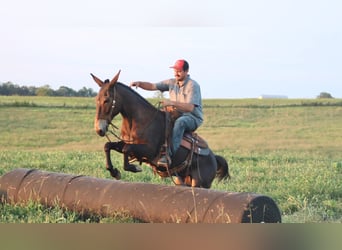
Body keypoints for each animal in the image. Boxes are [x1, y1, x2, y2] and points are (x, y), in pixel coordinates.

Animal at [91, 70, 230, 188]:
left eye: (107, 100)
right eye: (96, 99)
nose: (99, 129)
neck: (139, 120)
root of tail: (214, 158)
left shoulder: (149, 150)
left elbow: (126, 148)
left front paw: (134, 168)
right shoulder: (128, 144)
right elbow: (108, 146)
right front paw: (114, 171)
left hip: (200, 183)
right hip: (182, 180)